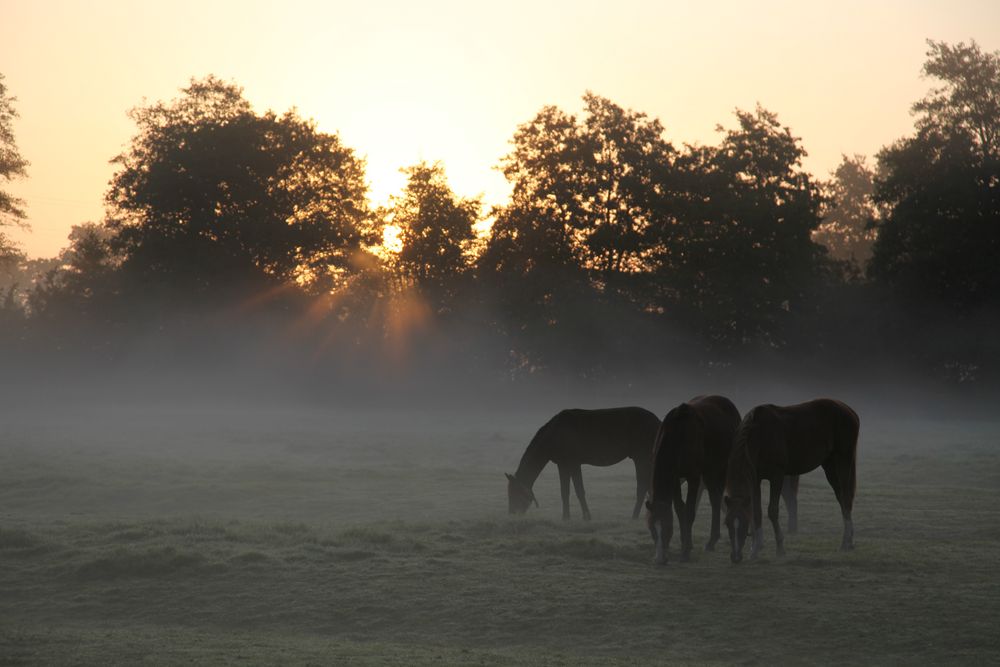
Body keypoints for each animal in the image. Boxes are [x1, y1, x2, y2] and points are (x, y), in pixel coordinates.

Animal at [504, 408, 660, 520]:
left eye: (514, 493)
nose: (511, 513)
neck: (554, 434)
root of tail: (658, 422)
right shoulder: (563, 465)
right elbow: (565, 491)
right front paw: (566, 517)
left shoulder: (573, 463)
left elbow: (579, 490)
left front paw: (586, 516)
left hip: (641, 458)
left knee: (642, 487)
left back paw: (634, 517)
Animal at [644, 394, 740, 568]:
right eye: (652, 529)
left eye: (668, 528)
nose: (660, 559)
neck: (678, 435)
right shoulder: (675, 478)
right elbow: (680, 510)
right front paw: (686, 544)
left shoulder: (693, 477)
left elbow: (689, 511)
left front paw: (685, 553)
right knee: (714, 499)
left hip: (719, 468)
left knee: (715, 500)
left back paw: (712, 540)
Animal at [724, 400, 856, 568]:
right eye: (727, 523)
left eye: (743, 523)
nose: (735, 557)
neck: (759, 435)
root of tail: (848, 410)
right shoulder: (755, 479)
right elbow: (757, 511)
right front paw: (755, 549)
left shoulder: (777, 476)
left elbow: (772, 511)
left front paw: (780, 548)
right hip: (830, 464)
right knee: (841, 498)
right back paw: (848, 540)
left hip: (843, 461)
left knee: (846, 498)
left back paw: (846, 542)